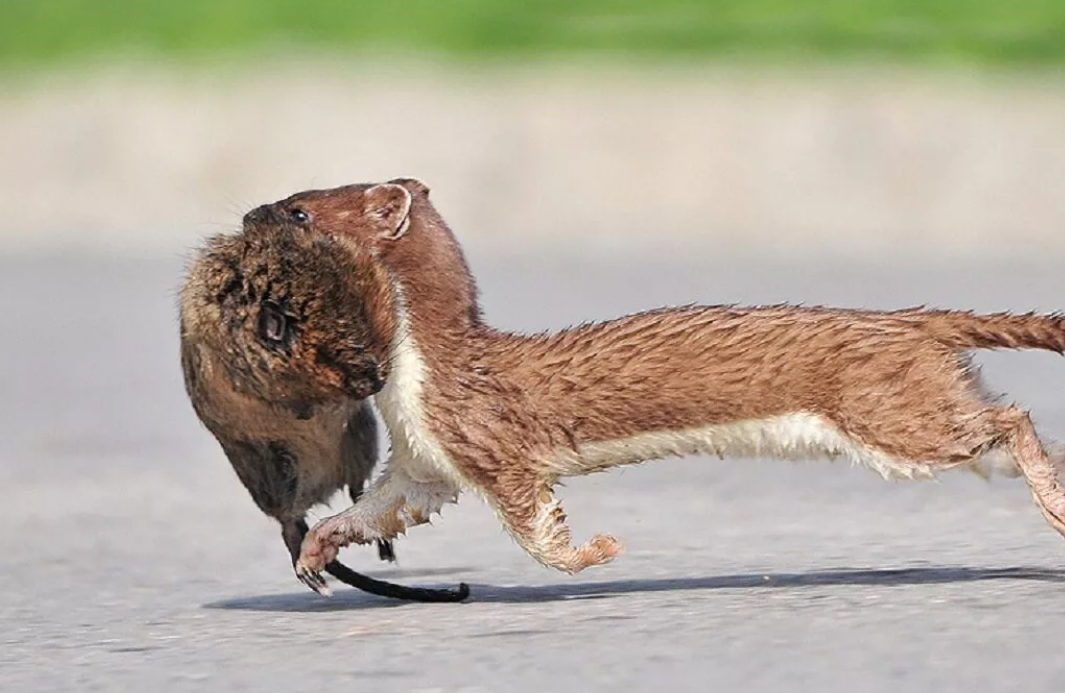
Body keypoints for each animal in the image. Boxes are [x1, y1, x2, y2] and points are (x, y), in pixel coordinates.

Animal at [181, 218, 468, 600]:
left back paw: (382, 548)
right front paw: (305, 408)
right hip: (273, 467)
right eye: (342, 353)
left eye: (379, 337)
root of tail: (320, 487)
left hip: (359, 437)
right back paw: (313, 576)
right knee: (289, 522)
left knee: (355, 487)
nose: (376, 383)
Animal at [241, 178, 1065, 596]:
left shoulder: (489, 441)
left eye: (299, 209)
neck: (413, 387)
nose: (249, 211)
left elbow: (536, 529)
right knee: (1005, 425)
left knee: (1011, 419)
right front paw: (314, 550)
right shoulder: (423, 463)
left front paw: (595, 551)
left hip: (890, 413)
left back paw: (1053, 505)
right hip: (920, 401)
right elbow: (378, 509)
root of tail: (910, 318)